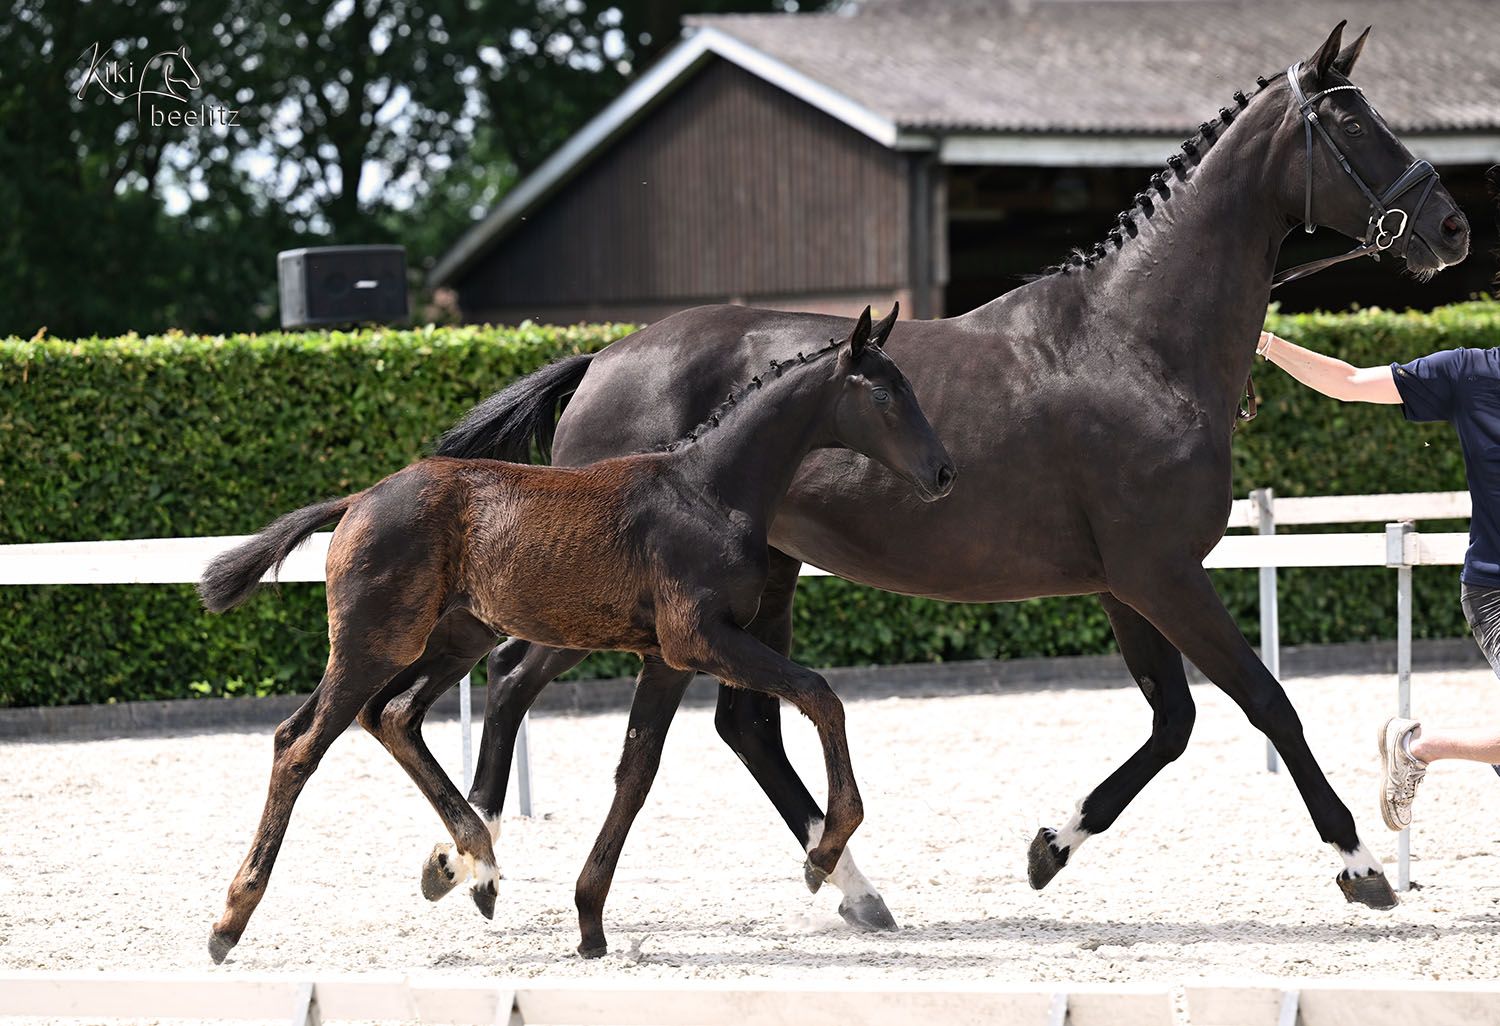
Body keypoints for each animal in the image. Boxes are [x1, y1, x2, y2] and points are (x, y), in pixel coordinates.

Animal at [200, 304, 955, 962]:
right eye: (884, 394)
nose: (944, 472)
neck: (708, 490)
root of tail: (359, 499)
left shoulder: (669, 657)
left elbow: (636, 772)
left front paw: (590, 921)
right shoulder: (700, 640)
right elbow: (821, 694)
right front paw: (822, 856)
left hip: (454, 637)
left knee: (392, 715)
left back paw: (477, 865)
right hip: (373, 642)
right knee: (300, 742)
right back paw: (232, 921)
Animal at [426, 21, 1471, 931]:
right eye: (1350, 123)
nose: (1452, 227)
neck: (1134, 342)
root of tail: (603, 359)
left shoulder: (1127, 583)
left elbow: (1172, 721)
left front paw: (1051, 846)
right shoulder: (1162, 574)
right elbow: (1266, 703)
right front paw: (1362, 867)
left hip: (761, 577)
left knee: (741, 726)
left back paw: (848, 886)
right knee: (519, 680)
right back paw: (470, 862)